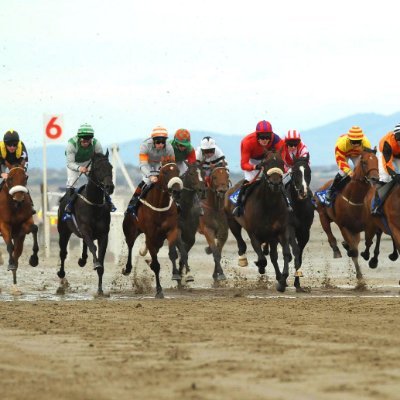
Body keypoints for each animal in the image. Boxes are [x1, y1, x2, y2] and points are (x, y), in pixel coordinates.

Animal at [0, 163, 38, 294]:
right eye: (10, 178)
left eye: (25, 177)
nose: (19, 198)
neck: (14, 206)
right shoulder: (3, 225)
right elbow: (9, 246)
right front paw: (10, 264)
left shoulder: (25, 224)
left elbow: (35, 228)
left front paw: (34, 259)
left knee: (17, 253)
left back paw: (15, 286)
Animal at [55, 152, 114, 296]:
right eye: (97, 168)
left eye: (111, 167)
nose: (109, 187)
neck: (94, 204)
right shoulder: (85, 229)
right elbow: (93, 247)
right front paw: (96, 263)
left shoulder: (104, 235)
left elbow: (100, 258)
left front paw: (100, 290)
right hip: (63, 232)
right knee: (63, 253)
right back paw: (61, 274)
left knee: (84, 244)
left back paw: (82, 260)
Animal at [122, 162, 186, 296]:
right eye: (165, 172)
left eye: (178, 171)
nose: (177, 191)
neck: (160, 206)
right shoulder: (150, 235)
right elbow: (156, 264)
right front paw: (159, 290)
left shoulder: (171, 231)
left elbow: (172, 253)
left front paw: (176, 274)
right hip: (130, 230)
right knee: (130, 245)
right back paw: (128, 268)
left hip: (159, 239)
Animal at [223, 152, 292, 292]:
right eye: (265, 164)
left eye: (282, 163)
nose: (275, 183)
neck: (269, 205)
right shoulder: (253, 233)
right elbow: (262, 258)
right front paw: (260, 266)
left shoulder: (279, 231)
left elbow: (283, 254)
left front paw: (282, 280)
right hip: (232, 221)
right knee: (241, 242)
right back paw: (243, 258)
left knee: (270, 254)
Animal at [312, 148, 378, 286]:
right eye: (364, 162)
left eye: (377, 160)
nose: (375, 178)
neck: (356, 199)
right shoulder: (344, 227)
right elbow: (353, 251)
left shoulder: (364, 226)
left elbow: (360, 247)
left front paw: (361, 278)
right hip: (322, 216)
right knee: (330, 235)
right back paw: (337, 250)